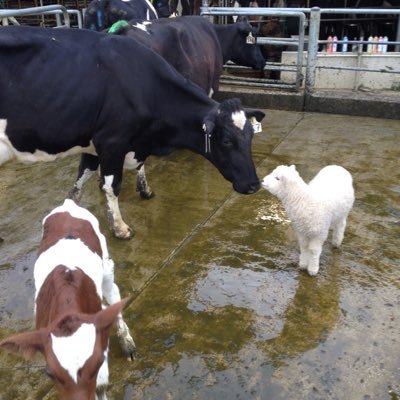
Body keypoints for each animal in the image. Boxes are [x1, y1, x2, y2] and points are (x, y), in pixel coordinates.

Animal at [0, 26, 266, 239]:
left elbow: (81, 178)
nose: (254, 185)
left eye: (251, 137)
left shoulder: (96, 143)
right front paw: (119, 228)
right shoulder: (111, 141)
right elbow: (111, 185)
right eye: (226, 140)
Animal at [0, 200, 136, 400]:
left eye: (98, 363)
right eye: (49, 373)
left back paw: (127, 343)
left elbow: (101, 385)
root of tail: (68, 203)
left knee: (113, 294)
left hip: (106, 265)